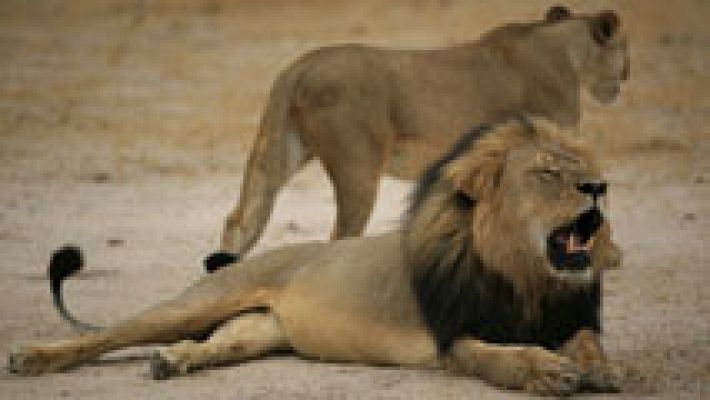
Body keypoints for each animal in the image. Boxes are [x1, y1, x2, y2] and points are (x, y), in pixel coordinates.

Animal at [8, 117, 624, 396]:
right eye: (548, 172)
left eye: (582, 167)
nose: (599, 187)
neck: (524, 275)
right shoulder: (453, 338)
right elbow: (502, 357)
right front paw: (546, 370)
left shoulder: (567, 316)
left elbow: (587, 341)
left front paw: (601, 368)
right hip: (196, 302)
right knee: (106, 336)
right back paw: (33, 358)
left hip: (257, 331)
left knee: (214, 345)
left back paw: (172, 362)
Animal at [216, 5, 630, 263]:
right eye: (625, 50)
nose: (625, 76)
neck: (564, 51)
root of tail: (298, 66)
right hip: (357, 167)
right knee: (340, 236)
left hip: (280, 151)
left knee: (241, 219)